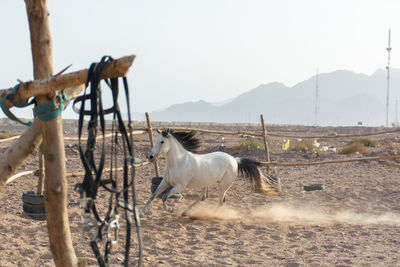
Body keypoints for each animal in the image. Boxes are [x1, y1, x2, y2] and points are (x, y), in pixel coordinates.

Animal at [141, 129, 272, 217]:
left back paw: (212, 215)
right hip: (206, 183)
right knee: (204, 197)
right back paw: (185, 212)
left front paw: (170, 209)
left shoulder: (180, 186)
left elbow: (164, 197)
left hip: (223, 185)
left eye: (162, 142)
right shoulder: (166, 182)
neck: (178, 162)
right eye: (155, 140)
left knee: (220, 202)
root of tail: (234, 160)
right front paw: (139, 213)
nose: (150, 156)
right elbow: (153, 196)